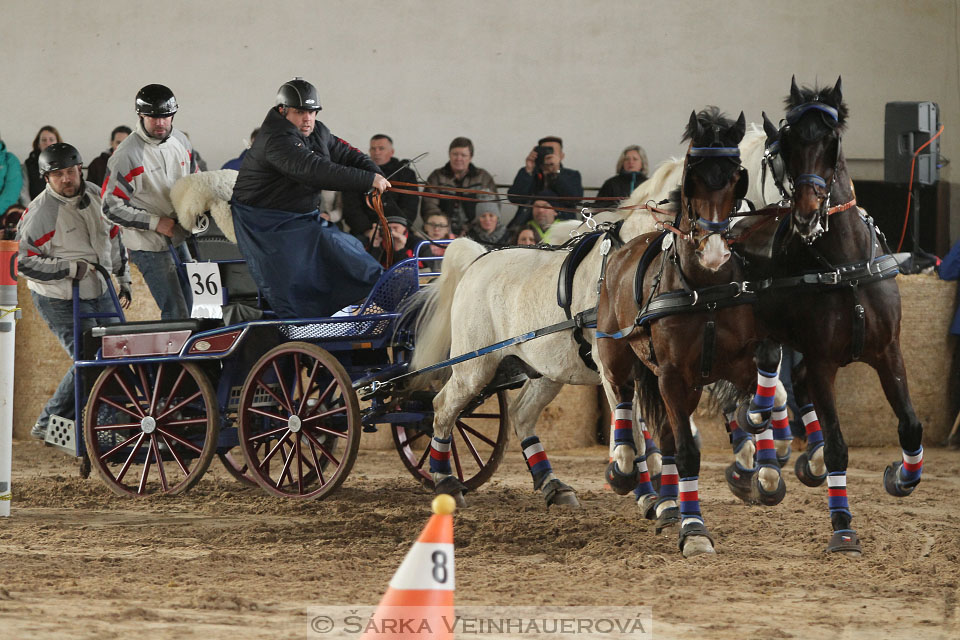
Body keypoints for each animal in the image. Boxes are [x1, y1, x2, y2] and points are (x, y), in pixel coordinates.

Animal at [596, 107, 784, 556]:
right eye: (692, 176)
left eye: (735, 176)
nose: (714, 251)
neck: (704, 288)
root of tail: (624, 246)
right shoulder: (671, 376)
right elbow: (685, 453)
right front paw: (694, 530)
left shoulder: (733, 363)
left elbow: (766, 375)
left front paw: (763, 461)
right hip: (618, 353)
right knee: (624, 398)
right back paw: (625, 465)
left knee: (661, 431)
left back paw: (668, 505)